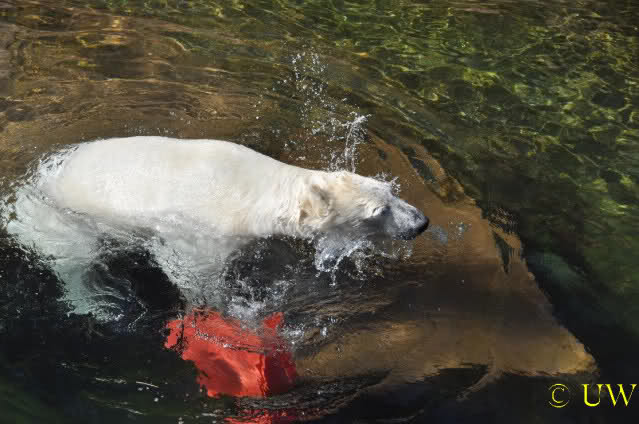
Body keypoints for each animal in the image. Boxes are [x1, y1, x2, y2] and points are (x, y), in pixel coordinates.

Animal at [5, 136, 428, 317]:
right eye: (379, 211)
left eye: (391, 191)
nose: (422, 222)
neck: (259, 190)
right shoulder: (200, 231)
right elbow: (193, 272)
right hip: (61, 223)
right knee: (73, 262)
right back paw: (100, 303)